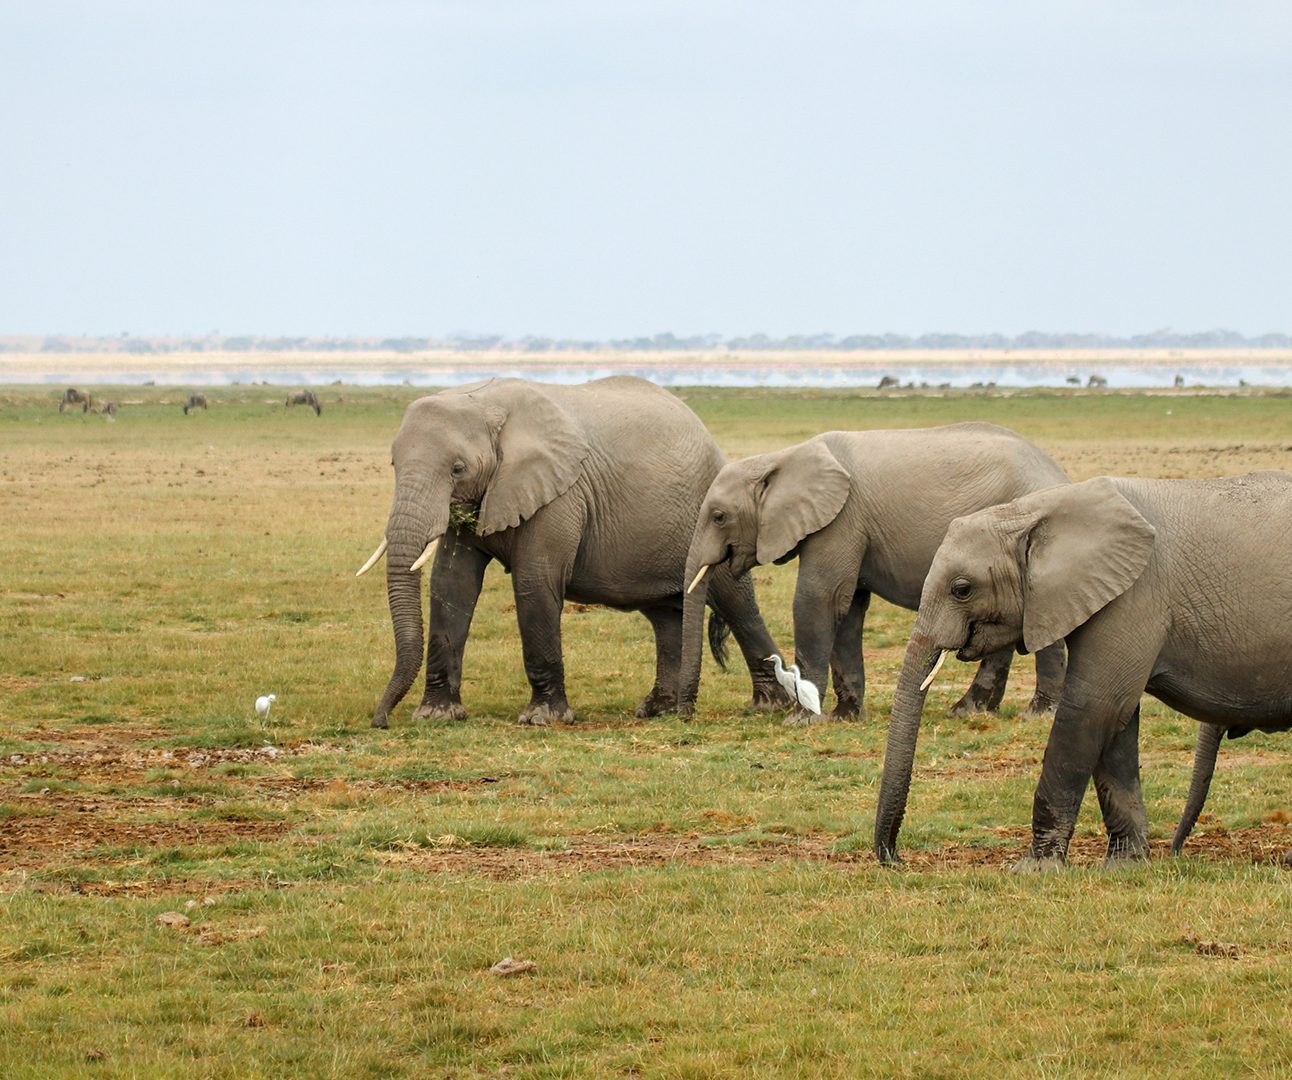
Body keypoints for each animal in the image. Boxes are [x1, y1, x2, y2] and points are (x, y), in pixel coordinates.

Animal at [358, 375, 786, 728]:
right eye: (393, 464)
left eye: (457, 469)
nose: (380, 721)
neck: (482, 401)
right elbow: (452, 586)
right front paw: (436, 716)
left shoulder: (561, 494)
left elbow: (535, 581)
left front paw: (542, 719)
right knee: (665, 616)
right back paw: (657, 710)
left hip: (715, 519)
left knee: (736, 603)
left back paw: (767, 707)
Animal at [678, 423, 1070, 721]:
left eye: (719, 517)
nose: (684, 715)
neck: (781, 457)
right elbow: (848, 609)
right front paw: (845, 718)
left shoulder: (841, 521)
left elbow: (819, 599)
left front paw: (801, 719)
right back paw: (968, 712)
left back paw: (1035, 714)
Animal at [874, 470, 1292, 871]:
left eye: (962, 589)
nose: (896, 859)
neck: (1036, 510)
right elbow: (1118, 726)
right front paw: (1125, 866)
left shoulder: (1133, 596)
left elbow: (1092, 710)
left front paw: (1034, 870)